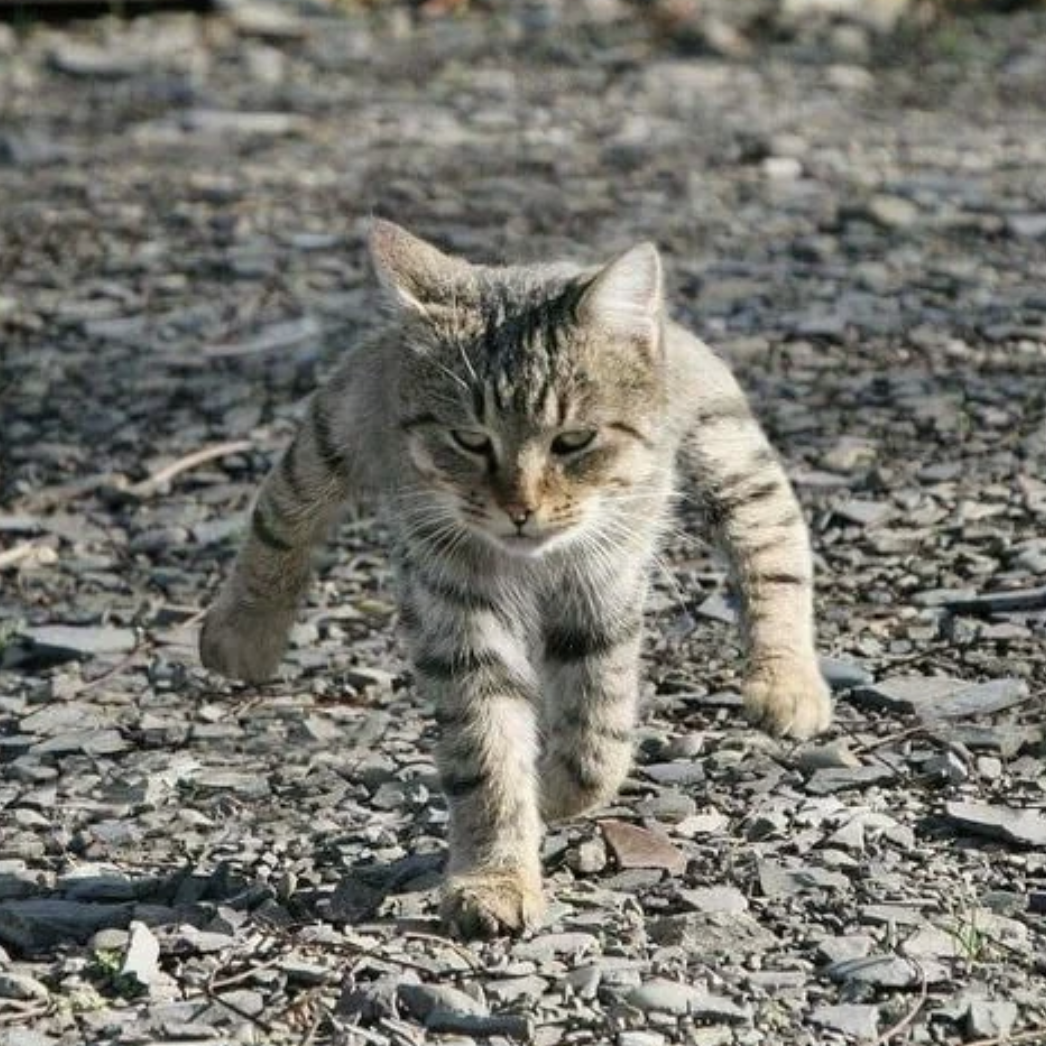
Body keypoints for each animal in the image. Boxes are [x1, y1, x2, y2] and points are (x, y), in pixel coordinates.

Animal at [199, 218, 828, 933]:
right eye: (470, 441)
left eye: (574, 441)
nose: (519, 508)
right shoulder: (454, 605)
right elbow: (487, 750)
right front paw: (496, 875)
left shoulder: (604, 582)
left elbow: (596, 733)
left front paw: (552, 793)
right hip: (342, 421)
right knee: (284, 508)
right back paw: (241, 636)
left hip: (725, 441)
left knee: (775, 539)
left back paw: (786, 683)